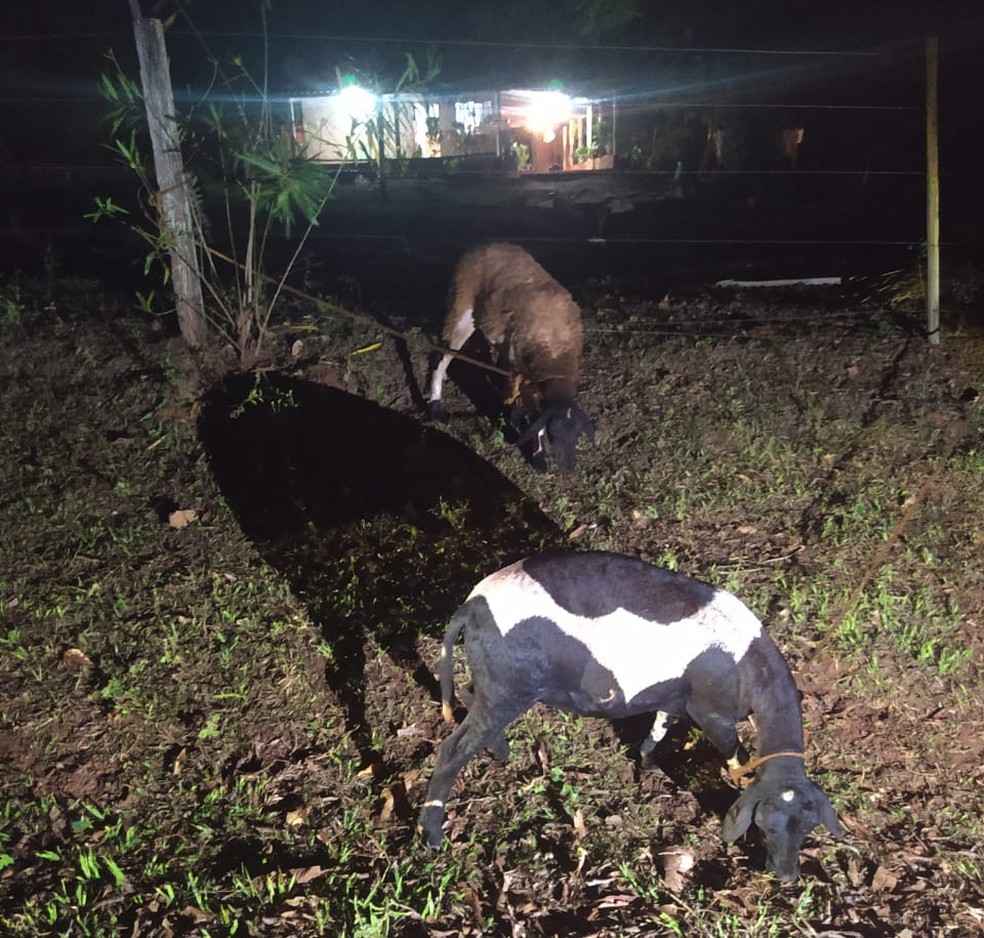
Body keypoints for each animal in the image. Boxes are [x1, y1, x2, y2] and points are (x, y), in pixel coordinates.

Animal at [418, 548, 840, 876]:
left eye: (808, 829)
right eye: (766, 827)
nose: (786, 877)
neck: (751, 672)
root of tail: (469, 606)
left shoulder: (676, 699)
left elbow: (660, 726)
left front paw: (648, 765)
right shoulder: (712, 715)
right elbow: (734, 755)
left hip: (496, 683)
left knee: (470, 697)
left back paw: (501, 754)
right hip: (509, 685)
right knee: (452, 750)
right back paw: (433, 837)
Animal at [424, 243, 592, 472]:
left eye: (577, 434)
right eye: (553, 432)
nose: (567, 470)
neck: (556, 353)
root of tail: (483, 244)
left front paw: (513, 419)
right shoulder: (522, 369)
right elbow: (533, 412)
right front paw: (538, 457)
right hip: (461, 310)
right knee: (443, 355)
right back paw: (435, 406)